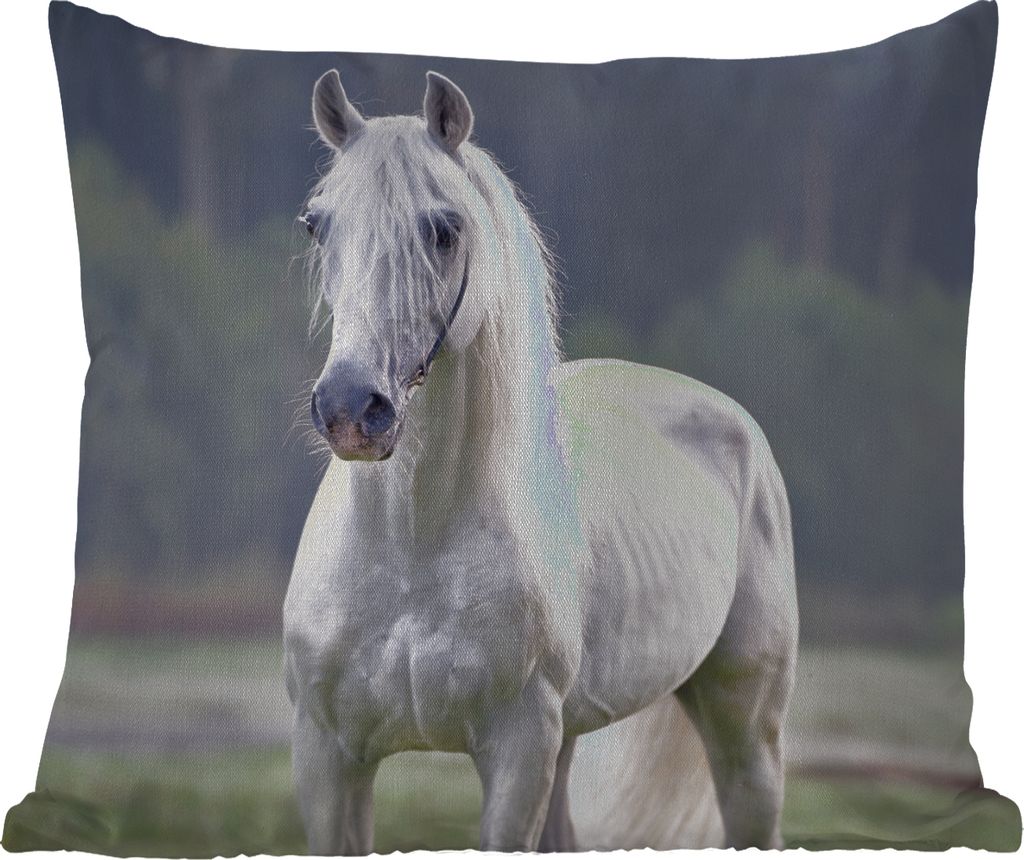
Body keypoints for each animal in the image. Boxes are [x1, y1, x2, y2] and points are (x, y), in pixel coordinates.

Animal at [284, 69, 799, 853]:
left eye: (444, 229)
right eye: (318, 224)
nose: (350, 409)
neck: (411, 550)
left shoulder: (519, 753)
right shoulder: (327, 758)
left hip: (745, 734)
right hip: (571, 740)